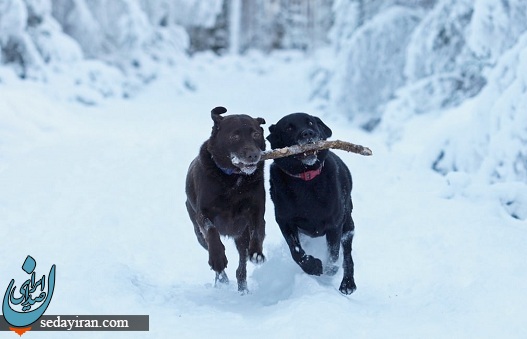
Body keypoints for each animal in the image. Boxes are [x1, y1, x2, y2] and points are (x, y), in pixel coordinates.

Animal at [187, 106, 268, 292]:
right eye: (235, 136)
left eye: (255, 134)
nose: (254, 155)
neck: (234, 180)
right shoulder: (203, 214)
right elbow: (211, 231)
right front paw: (218, 259)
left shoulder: (257, 211)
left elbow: (258, 231)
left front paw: (257, 253)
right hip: (198, 234)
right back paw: (221, 278)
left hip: (241, 235)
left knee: (241, 265)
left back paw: (243, 288)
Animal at [268, 113, 358, 294]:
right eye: (288, 128)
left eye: (311, 123)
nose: (308, 133)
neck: (306, 178)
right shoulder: (285, 221)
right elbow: (296, 251)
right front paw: (313, 266)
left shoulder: (335, 225)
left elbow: (334, 254)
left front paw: (330, 270)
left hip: (348, 224)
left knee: (347, 255)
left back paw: (347, 284)